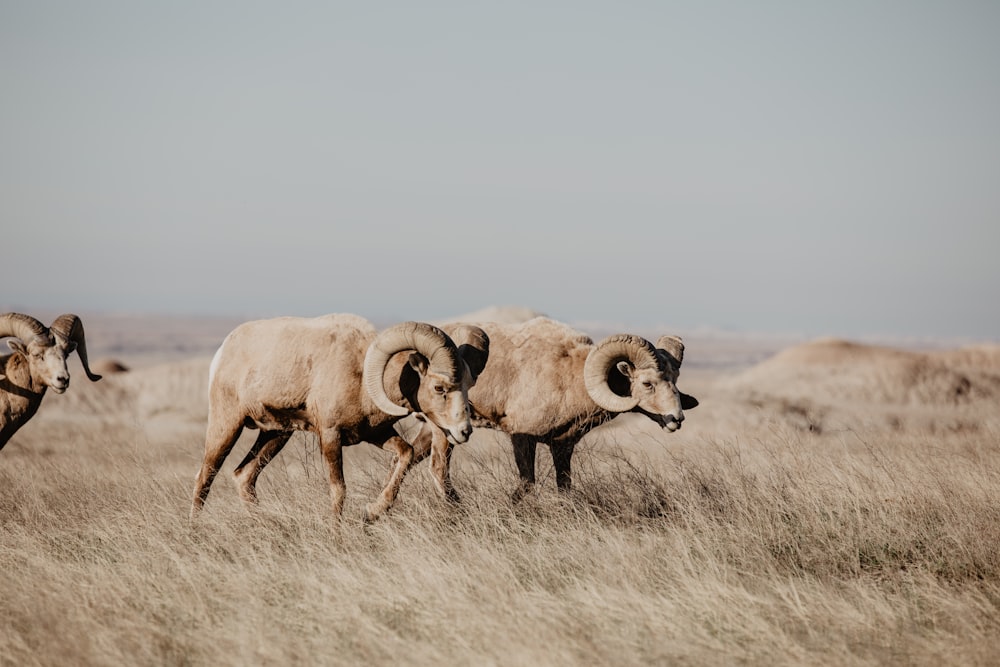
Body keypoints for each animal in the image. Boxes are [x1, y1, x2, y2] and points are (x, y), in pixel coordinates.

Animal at [191, 318, 488, 520]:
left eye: (467, 385)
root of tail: (223, 352)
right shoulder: (331, 436)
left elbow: (406, 454)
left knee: (244, 476)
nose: (464, 431)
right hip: (227, 426)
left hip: (276, 434)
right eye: (439, 388)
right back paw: (196, 530)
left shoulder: (376, 435)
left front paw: (373, 511)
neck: (362, 378)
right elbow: (339, 490)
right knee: (205, 477)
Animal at [442, 320, 700, 500]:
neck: (568, 377)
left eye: (675, 379)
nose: (676, 419)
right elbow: (527, 484)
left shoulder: (563, 446)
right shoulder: (522, 438)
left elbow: (564, 486)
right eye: (648, 383)